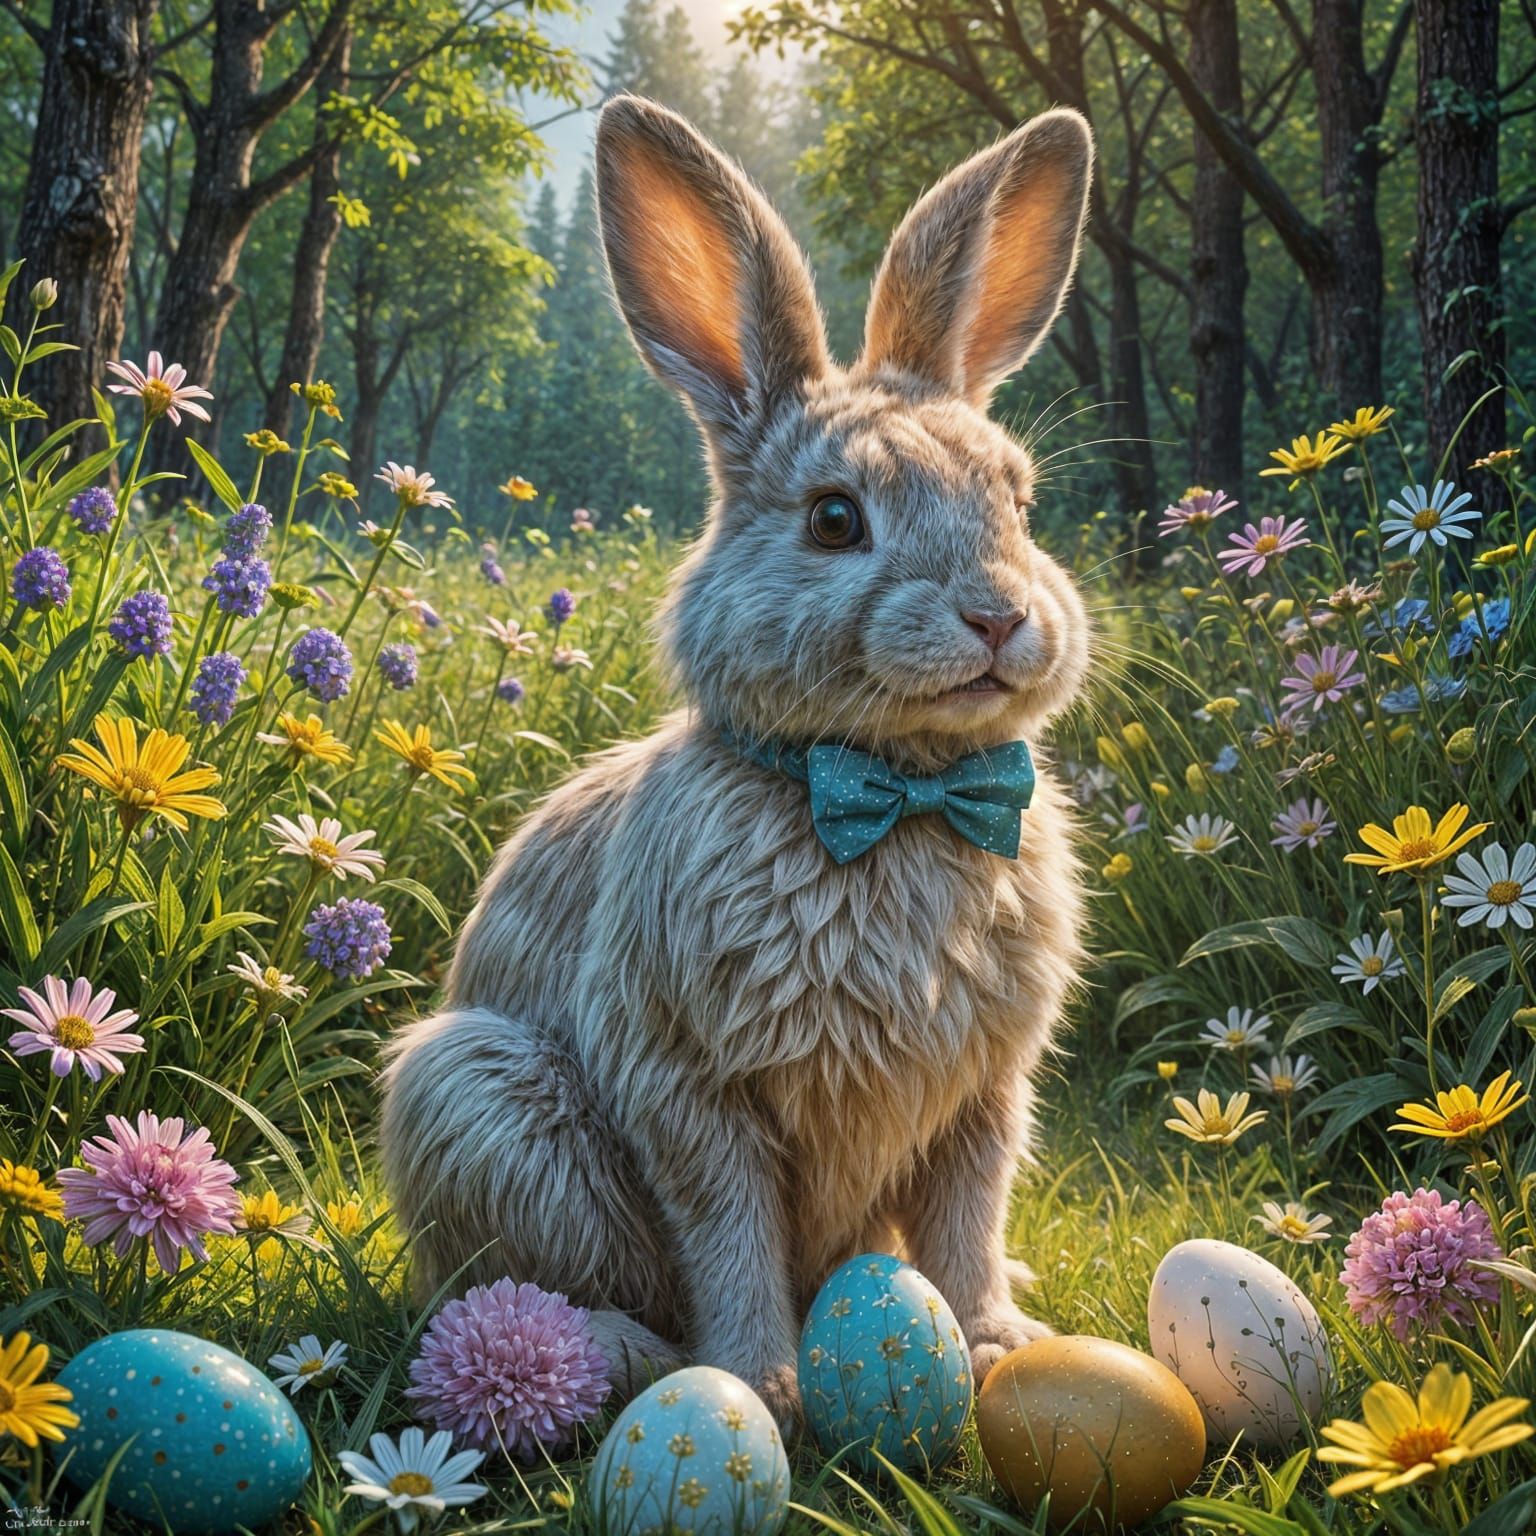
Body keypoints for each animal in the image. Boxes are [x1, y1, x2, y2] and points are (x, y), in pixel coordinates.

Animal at [380, 93, 1094, 1433]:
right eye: (834, 519)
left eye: (1020, 504)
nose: (1000, 617)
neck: (893, 791)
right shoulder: (690, 1089)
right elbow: (728, 1236)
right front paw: (761, 1383)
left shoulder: (983, 1099)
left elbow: (966, 1226)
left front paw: (991, 1346)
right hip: (480, 1105)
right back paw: (618, 1357)